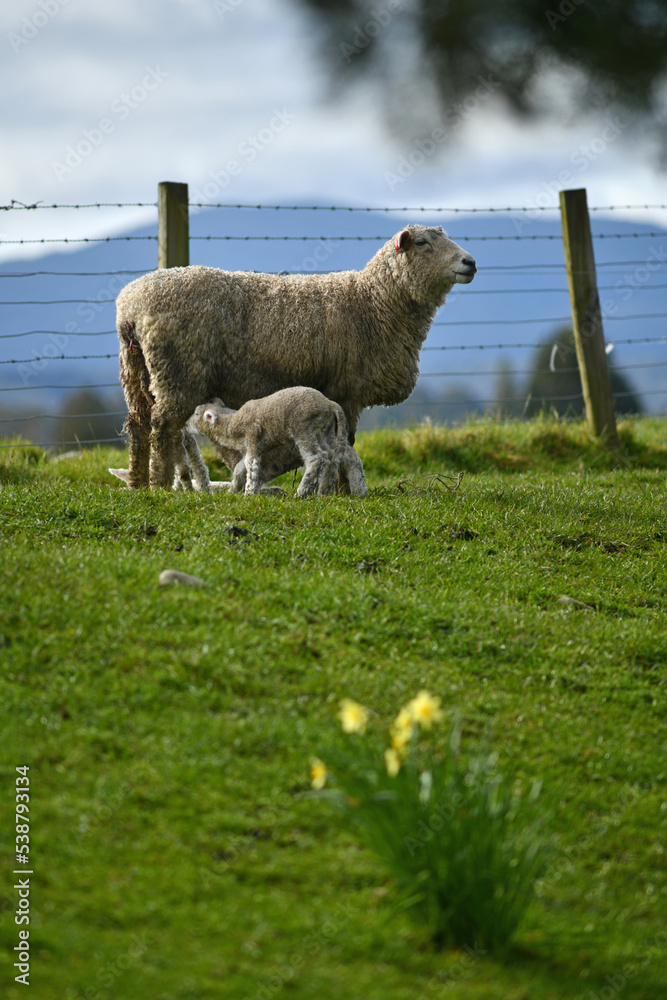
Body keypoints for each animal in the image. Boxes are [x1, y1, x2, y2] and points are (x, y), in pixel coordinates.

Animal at [192, 390, 370, 500]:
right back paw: (336, 491)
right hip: (326, 432)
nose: (186, 424)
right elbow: (240, 468)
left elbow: (252, 467)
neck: (232, 422)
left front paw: (249, 493)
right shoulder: (251, 447)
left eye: (196, 414)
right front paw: (233, 490)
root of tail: (330, 404)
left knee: (317, 458)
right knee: (336, 458)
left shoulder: (252, 437)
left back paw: (302, 492)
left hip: (304, 428)